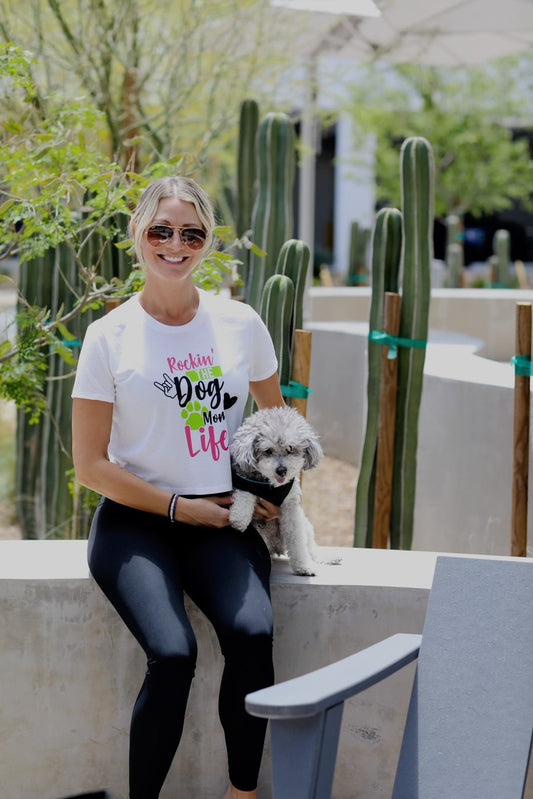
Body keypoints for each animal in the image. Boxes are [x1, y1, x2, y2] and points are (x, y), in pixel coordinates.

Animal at [230, 406, 340, 576]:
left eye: (290, 449)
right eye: (268, 451)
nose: (282, 470)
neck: (271, 485)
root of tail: (277, 547)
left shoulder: (291, 509)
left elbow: (297, 542)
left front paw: (303, 566)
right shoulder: (245, 481)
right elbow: (245, 494)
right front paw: (239, 518)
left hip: (305, 524)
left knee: (311, 548)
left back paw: (327, 558)